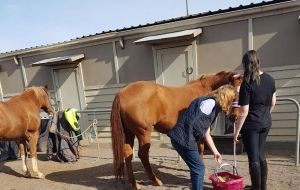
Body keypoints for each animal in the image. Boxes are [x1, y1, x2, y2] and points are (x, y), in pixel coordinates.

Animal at [111, 70, 243, 189]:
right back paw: (155, 180)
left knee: (128, 153)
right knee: (143, 155)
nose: (235, 117)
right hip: (143, 132)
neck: (208, 91)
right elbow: (200, 150)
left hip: (129, 132)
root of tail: (121, 93)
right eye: (235, 95)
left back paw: (134, 184)